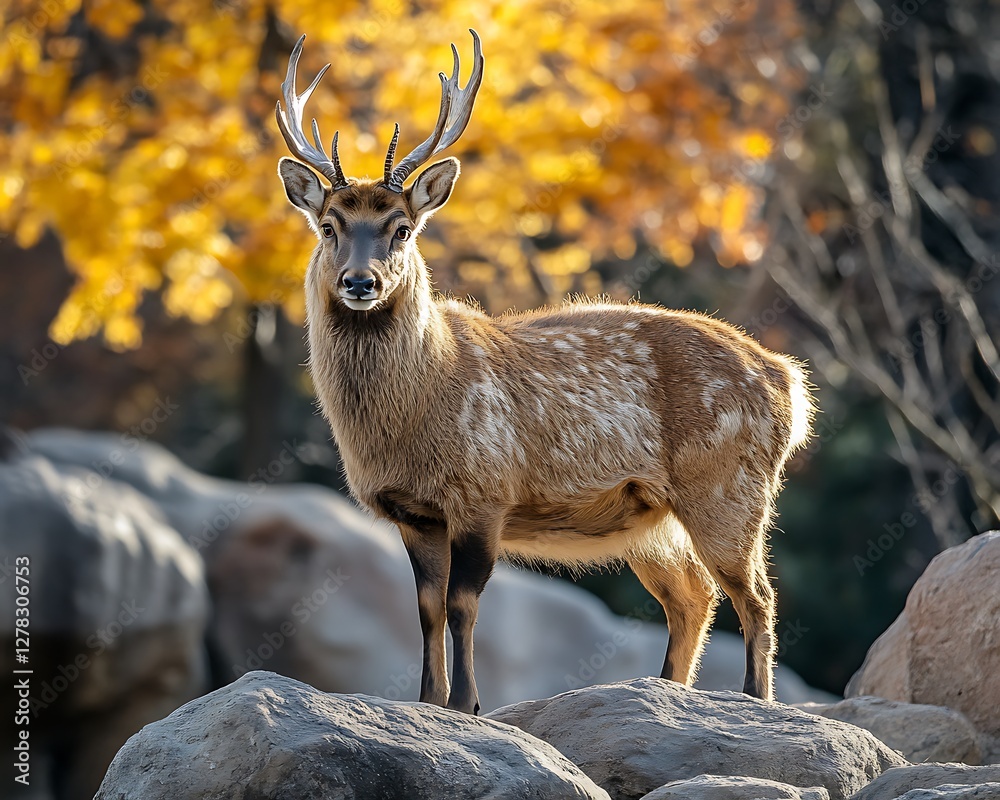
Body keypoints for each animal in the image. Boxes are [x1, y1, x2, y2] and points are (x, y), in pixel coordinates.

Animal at [275, 29, 815, 714]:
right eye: (329, 226)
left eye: (401, 229)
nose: (359, 282)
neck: (421, 405)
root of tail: (789, 384)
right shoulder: (414, 512)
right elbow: (425, 608)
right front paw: (428, 701)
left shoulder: (485, 488)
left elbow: (463, 602)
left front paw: (467, 704)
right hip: (654, 519)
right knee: (693, 596)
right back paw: (669, 692)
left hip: (729, 484)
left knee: (755, 596)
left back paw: (753, 700)